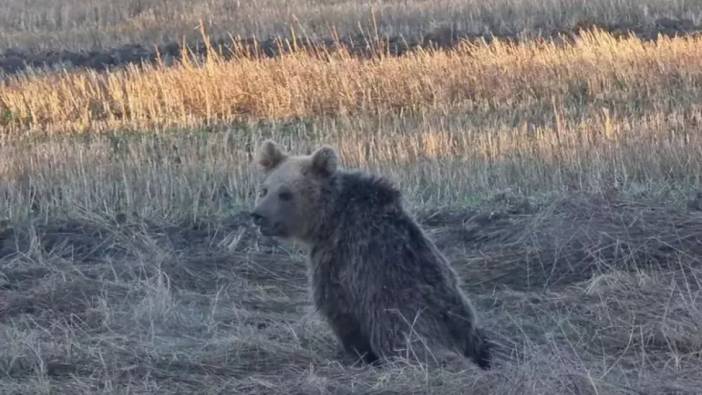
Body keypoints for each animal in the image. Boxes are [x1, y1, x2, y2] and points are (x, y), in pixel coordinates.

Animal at [253, 141, 496, 370]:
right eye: (264, 190)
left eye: (285, 194)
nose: (257, 215)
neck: (329, 219)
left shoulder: (342, 260)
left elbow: (339, 310)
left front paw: (356, 355)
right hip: (462, 318)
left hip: (408, 321)